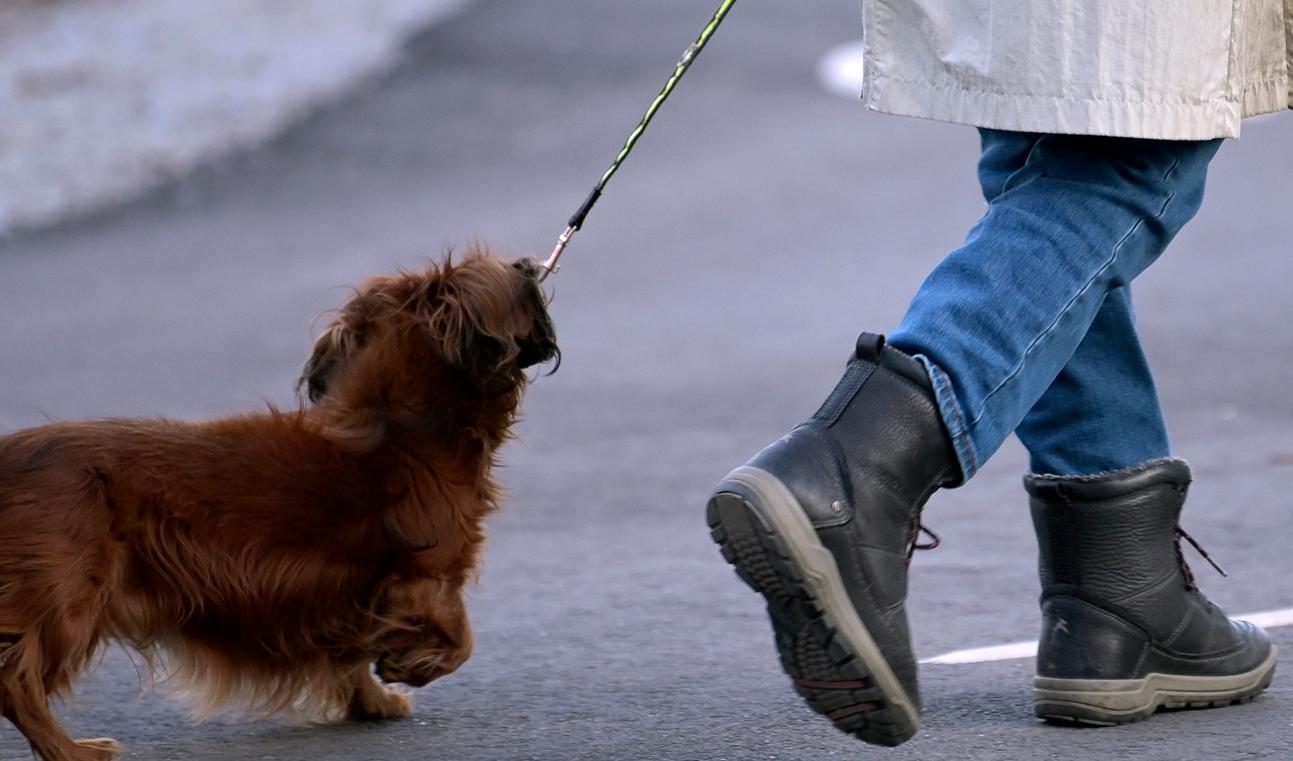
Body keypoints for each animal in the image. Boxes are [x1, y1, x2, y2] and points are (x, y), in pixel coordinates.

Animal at [0, 250, 550, 759]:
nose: (530, 264)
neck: (400, 429)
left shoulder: (343, 593)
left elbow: (351, 652)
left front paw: (374, 701)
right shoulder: (419, 578)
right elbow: (461, 639)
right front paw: (407, 665)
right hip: (68, 601)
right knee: (16, 680)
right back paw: (74, 750)